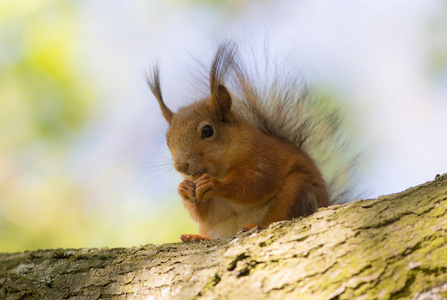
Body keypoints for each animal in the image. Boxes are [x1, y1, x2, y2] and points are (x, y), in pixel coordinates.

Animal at [149, 42, 358, 243]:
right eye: (168, 141)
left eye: (207, 131)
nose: (181, 166)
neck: (220, 167)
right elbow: (209, 213)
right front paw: (183, 189)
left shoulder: (264, 157)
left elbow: (255, 184)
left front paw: (214, 184)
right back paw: (196, 237)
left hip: (297, 190)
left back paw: (256, 225)